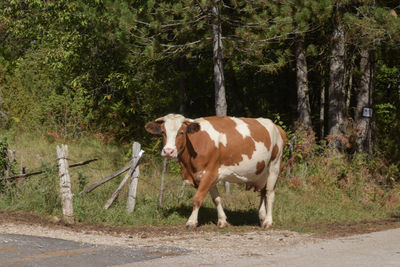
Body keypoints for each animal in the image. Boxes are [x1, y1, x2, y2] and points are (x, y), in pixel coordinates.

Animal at [145, 114, 286, 229]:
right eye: (163, 132)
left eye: (181, 132)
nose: (168, 151)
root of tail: (276, 126)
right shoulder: (209, 176)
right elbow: (216, 199)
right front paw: (222, 221)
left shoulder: (209, 173)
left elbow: (197, 198)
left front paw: (191, 222)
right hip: (260, 173)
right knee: (263, 192)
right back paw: (262, 217)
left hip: (274, 166)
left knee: (269, 193)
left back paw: (268, 222)